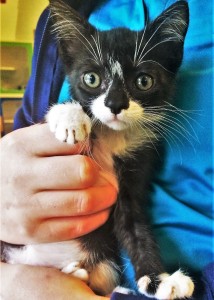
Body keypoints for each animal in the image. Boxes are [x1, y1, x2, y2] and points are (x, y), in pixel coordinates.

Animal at [5, 1, 196, 298]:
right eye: (91, 78)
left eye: (144, 81)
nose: (115, 104)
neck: (112, 137)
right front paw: (70, 118)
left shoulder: (134, 175)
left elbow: (135, 228)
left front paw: (159, 280)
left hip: (104, 265)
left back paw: (77, 272)